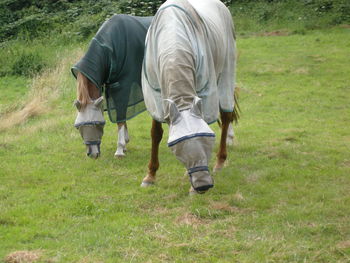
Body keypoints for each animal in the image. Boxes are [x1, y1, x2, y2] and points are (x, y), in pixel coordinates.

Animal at [71, 14, 152, 159]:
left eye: (99, 123)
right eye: (78, 126)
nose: (92, 154)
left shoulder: (123, 87)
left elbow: (120, 117)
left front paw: (119, 149)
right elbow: (122, 116)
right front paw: (124, 143)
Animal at [141, 0, 237, 194]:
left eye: (208, 138)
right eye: (176, 145)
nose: (203, 184)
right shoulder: (155, 97)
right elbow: (156, 133)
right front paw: (150, 176)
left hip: (226, 72)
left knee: (226, 115)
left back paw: (220, 161)